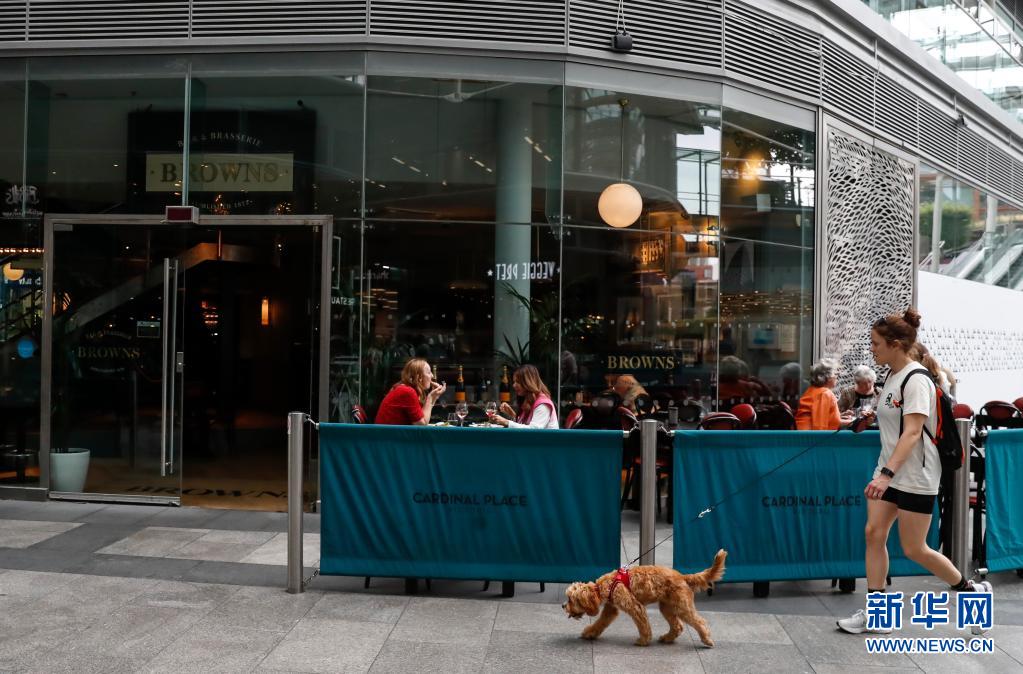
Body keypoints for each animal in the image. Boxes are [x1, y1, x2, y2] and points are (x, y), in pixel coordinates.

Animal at [562, 549, 726, 647]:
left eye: (570, 599)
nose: (563, 606)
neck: (605, 586)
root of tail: (682, 576)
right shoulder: (611, 608)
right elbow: (600, 622)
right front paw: (589, 633)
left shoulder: (635, 606)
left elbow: (643, 625)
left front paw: (644, 640)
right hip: (667, 607)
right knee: (678, 626)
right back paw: (667, 638)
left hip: (682, 606)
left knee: (699, 622)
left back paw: (706, 639)